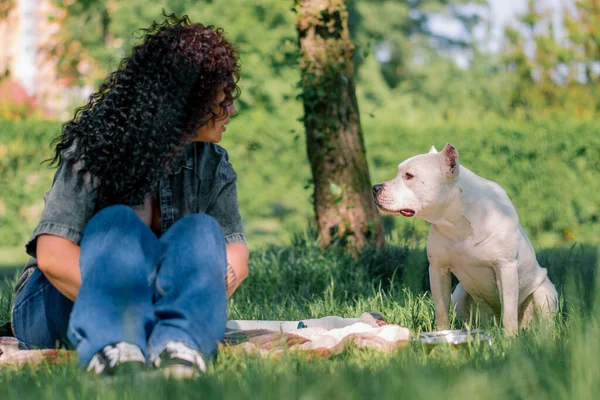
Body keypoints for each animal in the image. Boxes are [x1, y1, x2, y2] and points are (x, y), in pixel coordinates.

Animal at [372, 144, 560, 334]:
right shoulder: (438, 269)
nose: (375, 187)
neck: (457, 223)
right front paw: (442, 334)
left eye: (409, 176)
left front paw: (510, 338)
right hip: (460, 294)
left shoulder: (506, 267)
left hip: (544, 294)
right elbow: (441, 310)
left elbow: (509, 311)